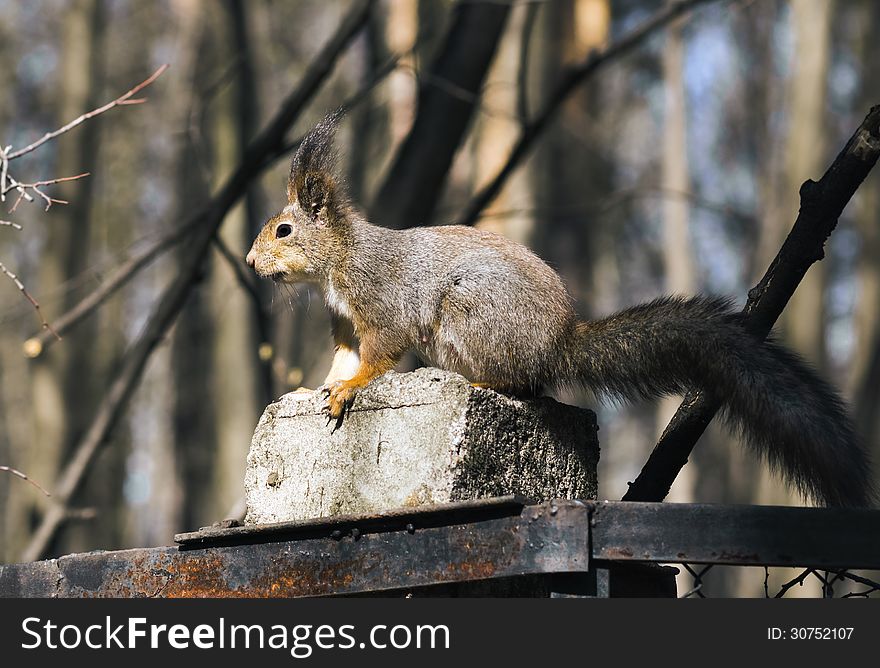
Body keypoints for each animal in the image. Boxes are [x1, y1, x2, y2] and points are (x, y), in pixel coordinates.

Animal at [246, 112, 872, 506]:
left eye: (283, 230)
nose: (251, 262)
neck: (339, 262)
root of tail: (557, 342)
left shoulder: (381, 304)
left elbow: (379, 357)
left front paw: (350, 391)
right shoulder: (345, 325)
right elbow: (343, 360)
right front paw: (312, 389)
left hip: (470, 316)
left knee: (520, 384)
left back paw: (470, 379)